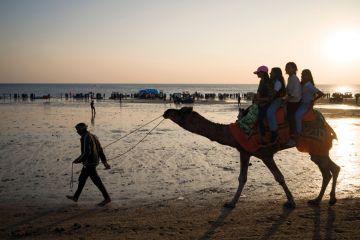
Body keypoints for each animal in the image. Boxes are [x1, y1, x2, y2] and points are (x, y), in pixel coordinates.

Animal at [163, 107, 340, 208]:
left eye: (181, 111)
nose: (166, 112)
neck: (235, 133)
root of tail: (328, 127)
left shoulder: (265, 154)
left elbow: (279, 177)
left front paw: (291, 202)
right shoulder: (244, 151)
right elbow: (242, 178)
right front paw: (231, 203)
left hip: (318, 148)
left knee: (330, 170)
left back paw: (323, 199)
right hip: (317, 151)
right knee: (331, 170)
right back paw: (320, 200)